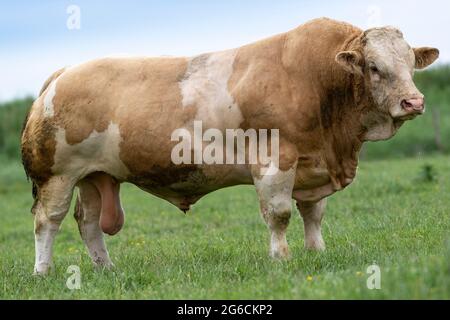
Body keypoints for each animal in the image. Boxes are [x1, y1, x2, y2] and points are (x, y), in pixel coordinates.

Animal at [22, 17, 440, 274]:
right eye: (374, 67)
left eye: (410, 64)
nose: (414, 102)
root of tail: (63, 73)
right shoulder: (275, 160)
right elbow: (279, 214)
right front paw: (281, 258)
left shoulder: (312, 164)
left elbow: (313, 214)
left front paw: (316, 252)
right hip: (57, 175)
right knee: (48, 221)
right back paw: (43, 271)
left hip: (95, 176)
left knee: (89, 222)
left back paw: (106, 269)